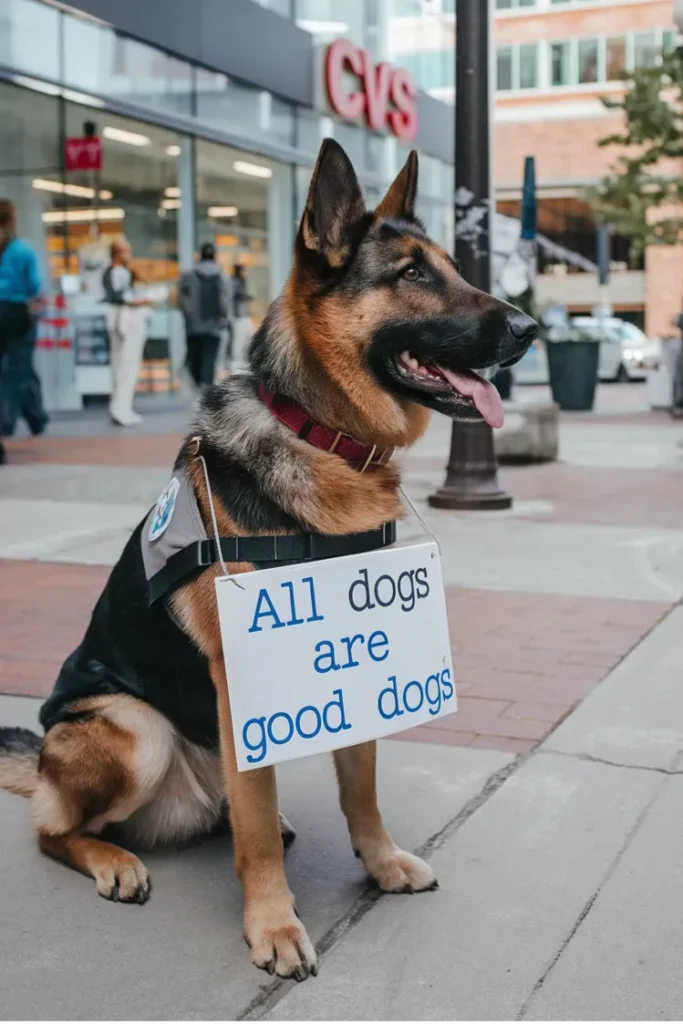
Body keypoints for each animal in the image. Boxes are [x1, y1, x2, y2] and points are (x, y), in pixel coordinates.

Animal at [0, 140, 532, 978]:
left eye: (451, 266)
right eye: (411, 274)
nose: (530, 327)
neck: (324, 437)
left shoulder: (349, 674)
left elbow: (361, 789)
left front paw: (380, 862)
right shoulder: (243, 685)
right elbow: (254, 833)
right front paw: (273, 925)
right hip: (134, 728)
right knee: (56, 829)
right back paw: (114, 860)